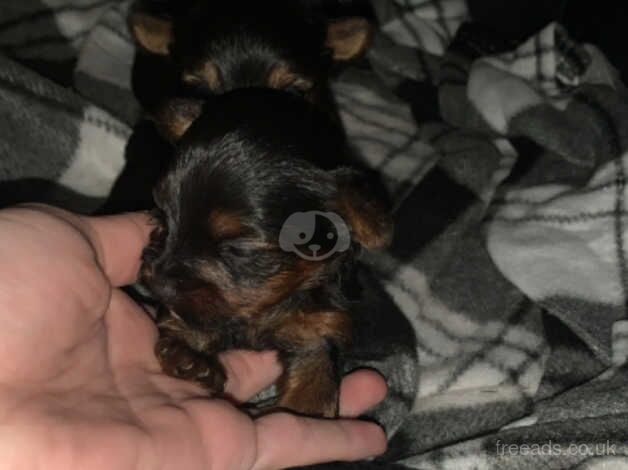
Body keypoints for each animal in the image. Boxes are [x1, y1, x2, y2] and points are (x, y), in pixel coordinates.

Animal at [141, 89, 392, 418]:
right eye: (162, 216)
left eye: (240, 248)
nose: (159, 285)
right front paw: (189, 356)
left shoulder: (317, 328)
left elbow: (313, 389)